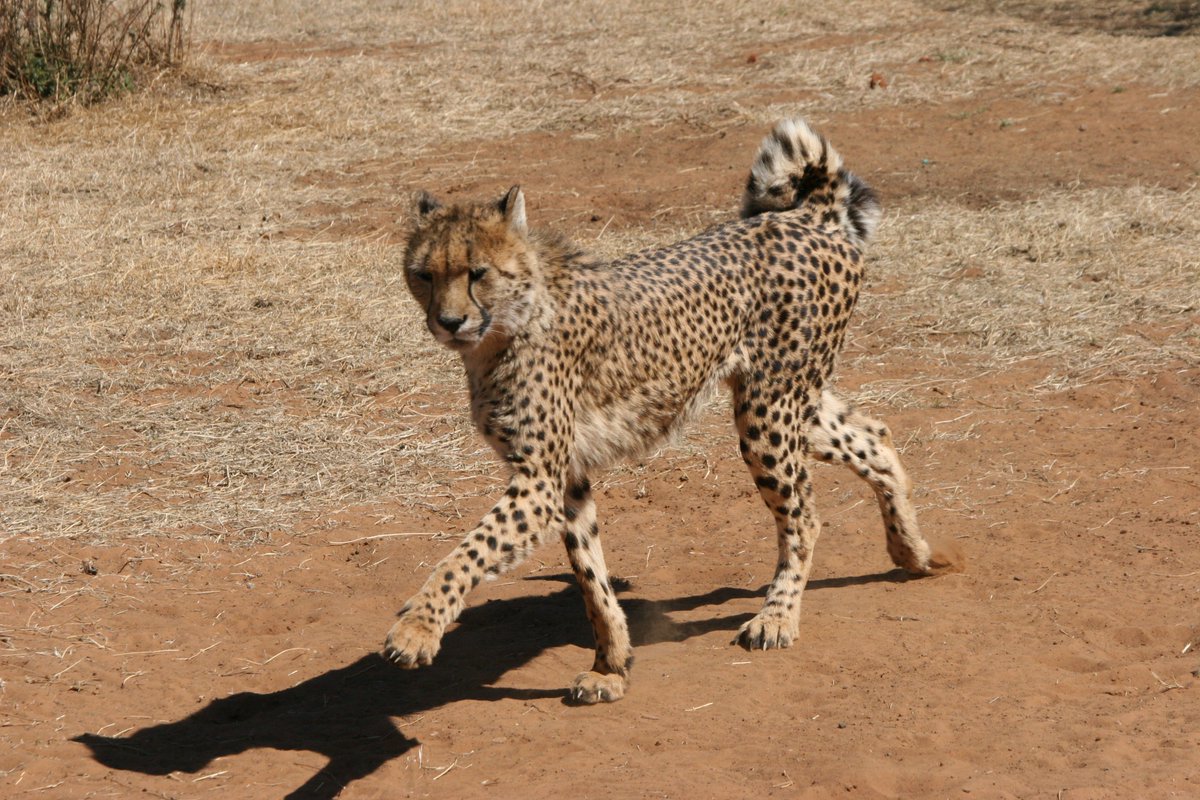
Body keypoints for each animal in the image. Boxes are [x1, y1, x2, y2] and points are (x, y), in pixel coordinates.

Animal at [384, 118, 963, 703]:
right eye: (424, 275)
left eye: (477, 272)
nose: (448, 322)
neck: (508, 323)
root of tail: (803, 215)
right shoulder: (567, 477)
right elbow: (590, 576)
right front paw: (611, 665)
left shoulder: (538, 479)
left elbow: (467, 553)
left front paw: (418, 628)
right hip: (789, 401)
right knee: (874, 436)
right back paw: (912, 551)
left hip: (768, 413)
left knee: (804, 515)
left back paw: (777, 617)